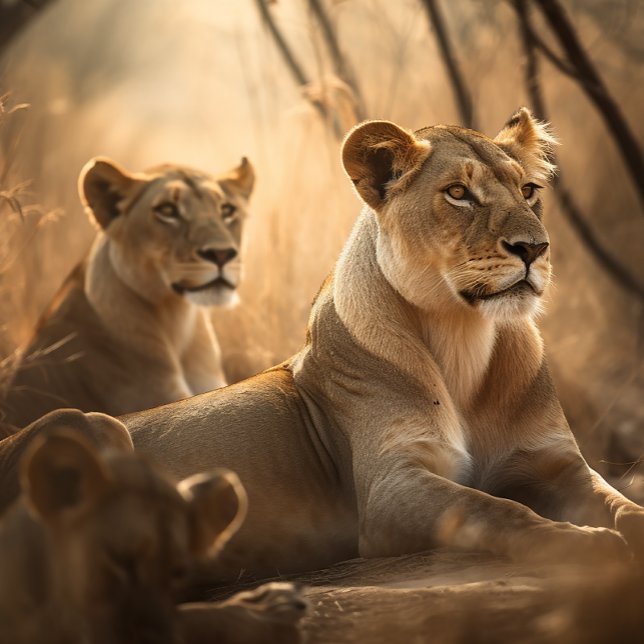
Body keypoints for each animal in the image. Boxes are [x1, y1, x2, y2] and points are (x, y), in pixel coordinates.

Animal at [127, 110, 644, 579]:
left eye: (529, 191)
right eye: (459, 193)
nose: (535, 248)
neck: (463, 335)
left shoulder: (555, 462)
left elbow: (622, 503)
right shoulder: (389, 488)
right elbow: (492, 508)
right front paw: (582, 543)